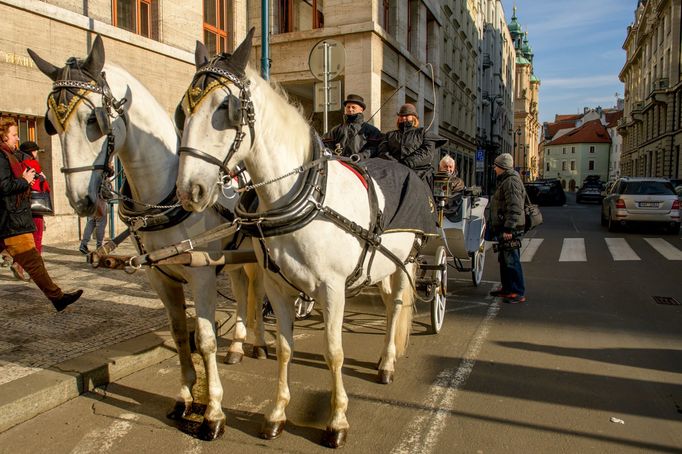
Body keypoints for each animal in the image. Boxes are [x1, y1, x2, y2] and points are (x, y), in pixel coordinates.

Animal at [29, 37, 268, 442]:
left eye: (94, 120)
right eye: (52, 122)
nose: (80, 200)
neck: (166, 192)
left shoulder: (201, 274)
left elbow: (205, 339)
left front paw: (213, 413)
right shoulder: (160, 276)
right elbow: (179, 332)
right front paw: (185, 398)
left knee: (259, 289)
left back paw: (260, 343)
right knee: (240, 289)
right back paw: (237, 344)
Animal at [174, 30, 424, 448]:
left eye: (227, 107)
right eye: (182, 110)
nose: (189, 190)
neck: (299, 197)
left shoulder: (333, 288)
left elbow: (334, 352)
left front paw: (336, 422)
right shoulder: (277, 286)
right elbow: (285, 350)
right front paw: (276, 413)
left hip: (403, 264)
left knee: (397, 308)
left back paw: (388, 362)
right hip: (382, 268)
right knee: (391, 306)